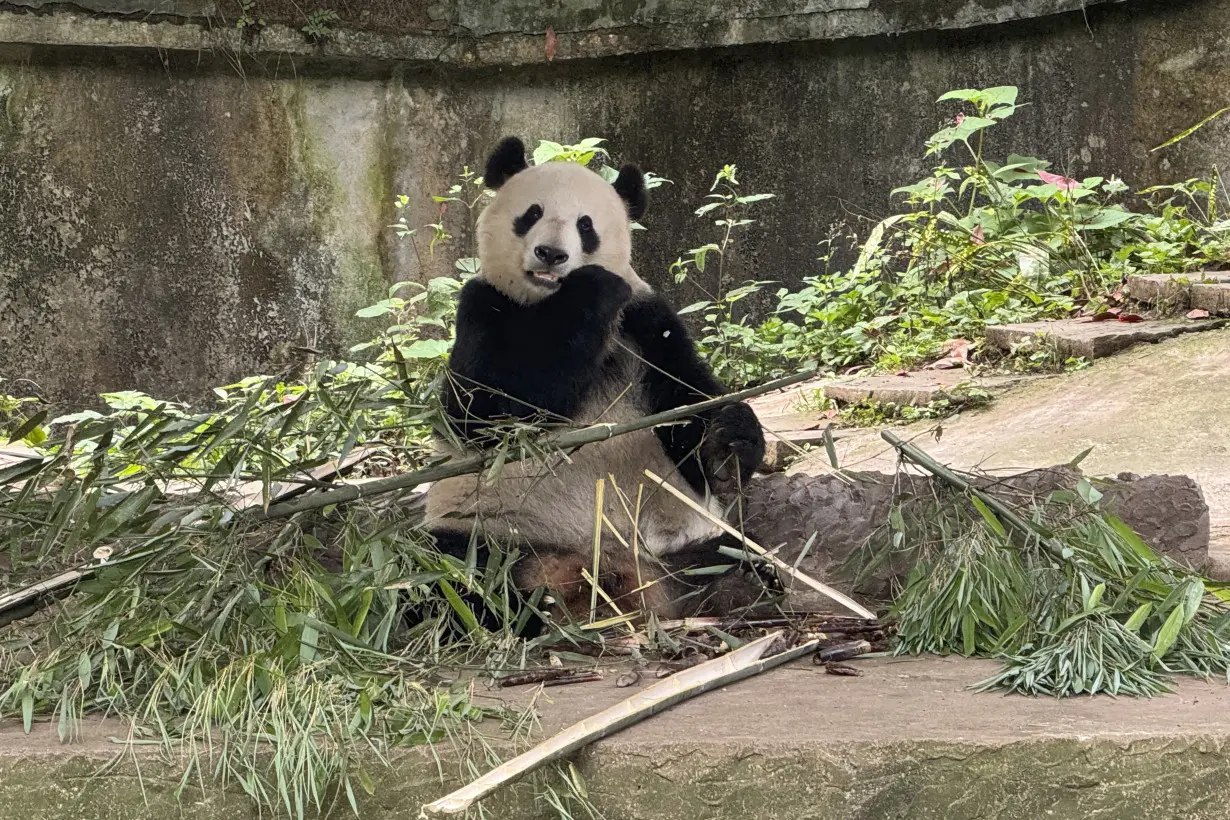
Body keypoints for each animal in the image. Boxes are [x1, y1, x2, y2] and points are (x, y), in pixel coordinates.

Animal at [418, 139, 772, 629]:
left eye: (586, 226)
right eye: (531, 213)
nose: (551, 254)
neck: (548, 303)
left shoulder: (647, 324)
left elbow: (688, 406)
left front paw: (730, 446)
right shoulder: (483, 307)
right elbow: (486, 413)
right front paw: (590, 291)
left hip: (686, 542)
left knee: (739, 557)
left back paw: (736, 590)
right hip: (488, 529)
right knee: (455, 575)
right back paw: (522, 606)